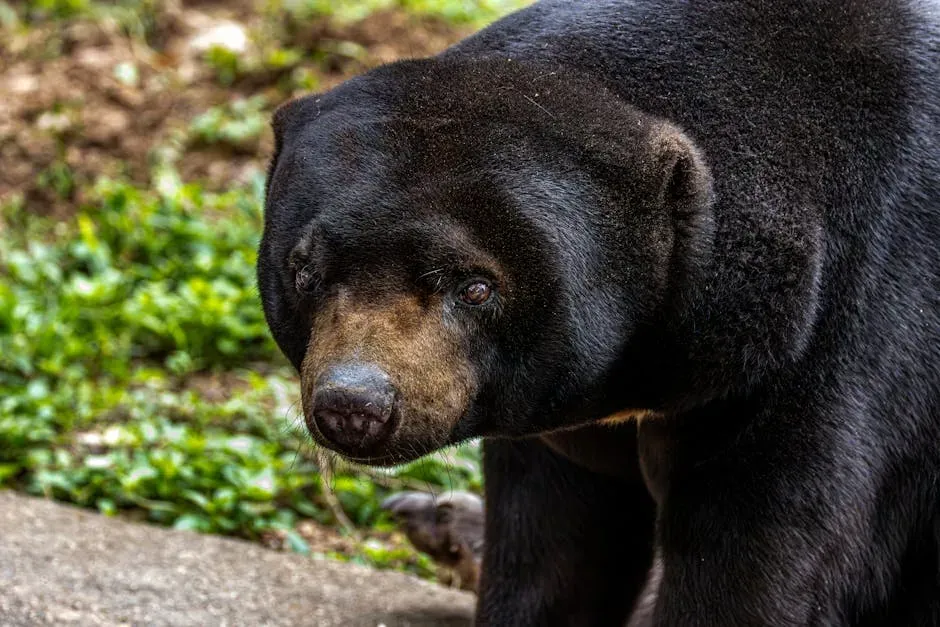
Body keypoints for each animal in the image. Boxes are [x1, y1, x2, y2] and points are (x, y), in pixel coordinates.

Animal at [257, 0, 940, 624]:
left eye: (475, 287)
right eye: (305, 272)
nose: (355, 406)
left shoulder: (842, 338)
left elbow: (766, 550)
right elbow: (555, 544)